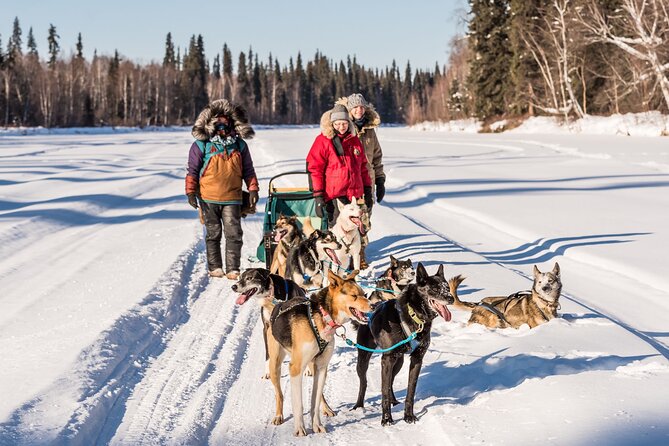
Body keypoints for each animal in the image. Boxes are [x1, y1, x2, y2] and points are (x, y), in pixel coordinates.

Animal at [266, 268, 370, 436]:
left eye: (364, 295)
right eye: (354, 296)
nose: (374, 306)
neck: (321, 317)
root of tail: (278, 305)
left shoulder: (321, 367)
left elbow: (314, 402)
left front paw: (317, 425)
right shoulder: (295, 369)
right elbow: (299, 404)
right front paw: (300, 429)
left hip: (314, 367)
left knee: (319, 395)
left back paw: (326, 408)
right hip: (275, 365)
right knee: (279, 394)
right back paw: (278, 415)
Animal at [350, 264, 454, 426]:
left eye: (447, 287)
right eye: (435, 289)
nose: (451, 298)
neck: (415, 316)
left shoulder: (417, 359)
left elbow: (410, 391)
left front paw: (409, 416)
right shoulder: (387, 359)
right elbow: (384, 391)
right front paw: (387, 419)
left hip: (398, 361)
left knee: (391, 381)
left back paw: (394, 401)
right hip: (364, 358)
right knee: (364, 382)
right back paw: (359, 406)